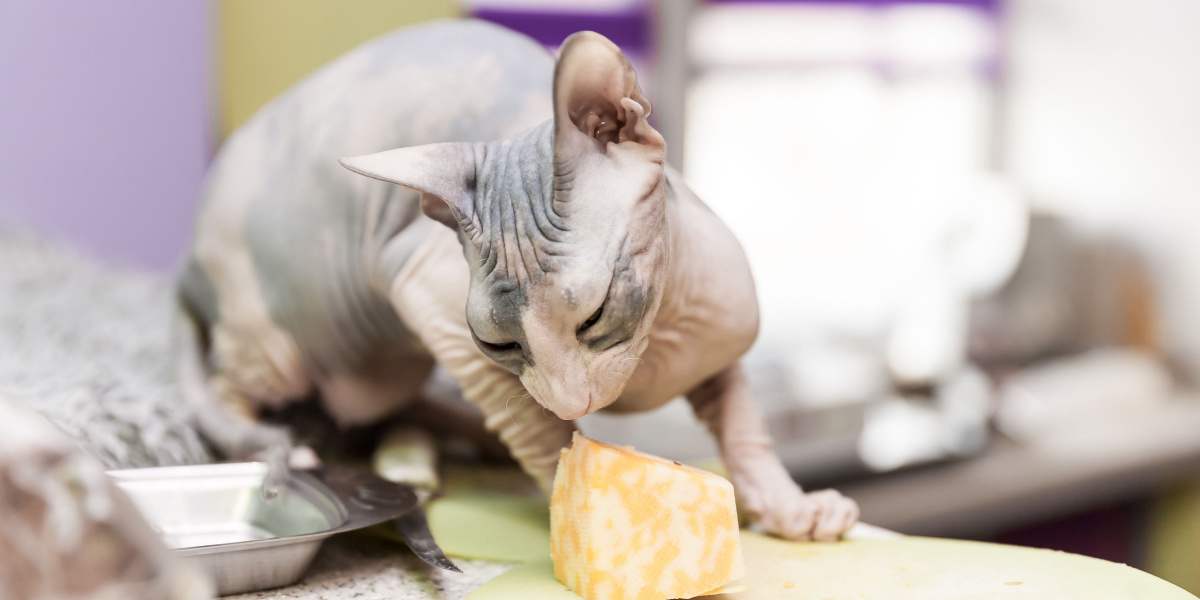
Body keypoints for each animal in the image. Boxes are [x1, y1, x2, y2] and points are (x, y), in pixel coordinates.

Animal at [177, 21, 859, 542]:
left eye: (595, 313)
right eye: (500, 343)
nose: (575, 401)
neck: (658, 343)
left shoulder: (719, 344)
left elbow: (745, 429)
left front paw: (790, 509)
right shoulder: (429, 296)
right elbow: (539, 431)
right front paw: (581, 503)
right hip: (283, 344)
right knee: (221, 387)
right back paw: (280, 444)